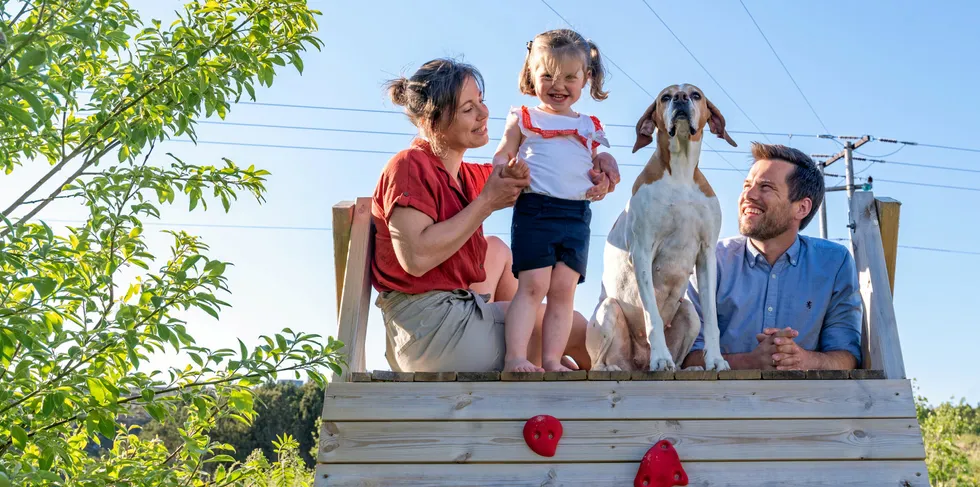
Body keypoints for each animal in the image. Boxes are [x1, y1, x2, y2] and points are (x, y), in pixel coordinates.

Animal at [580, 85, 736, 374]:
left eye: (696, 95)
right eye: (665, 97)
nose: (681, 98)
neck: (681, 174)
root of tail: (637, 363)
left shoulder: (706, 255)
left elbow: (711, 318)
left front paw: (715, 359)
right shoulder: (642, 251)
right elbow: (652, 314)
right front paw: (661, 357)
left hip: (688, 312)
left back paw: (687, 368)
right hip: (608, 310)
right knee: (596, 363)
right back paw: (614, 367)